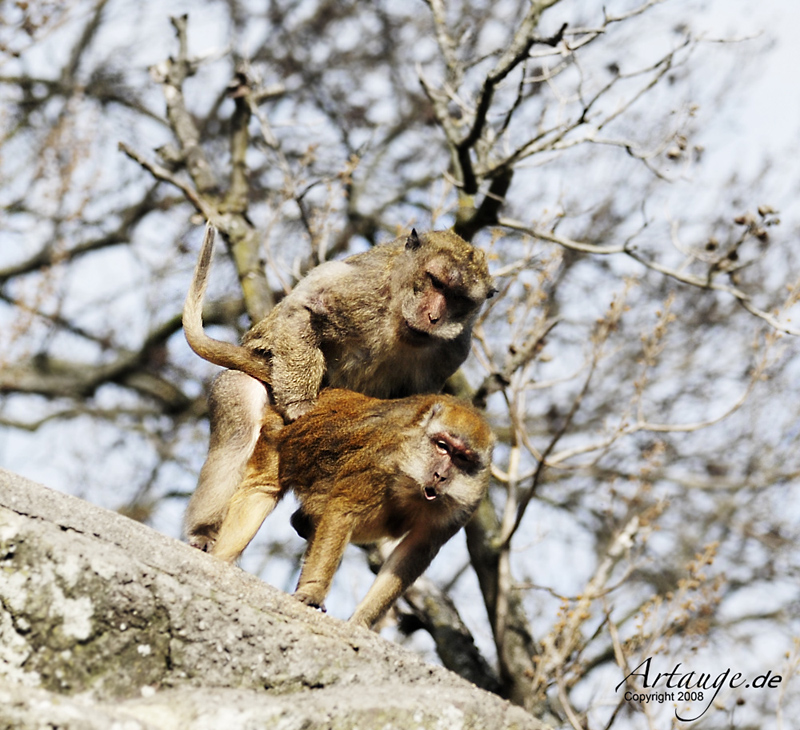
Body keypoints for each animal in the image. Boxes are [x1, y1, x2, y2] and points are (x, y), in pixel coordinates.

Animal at [184, 223, 494, 552]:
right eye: (435, 282)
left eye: (457, 298)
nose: (433, 317)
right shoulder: (361, 287)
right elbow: (307, 309)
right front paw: (299, 404)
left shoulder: (454, 351)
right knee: (241, 415)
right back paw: (203, 530)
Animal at [208, 386, 494, 624]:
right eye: (442, 446)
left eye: (462, 458)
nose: (440, 475)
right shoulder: (381, 459)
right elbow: (342, 510)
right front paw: (313, 593)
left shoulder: (466, 506)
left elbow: (415, 551)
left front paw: (362, 621)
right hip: (279, 431)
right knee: (262, 489)